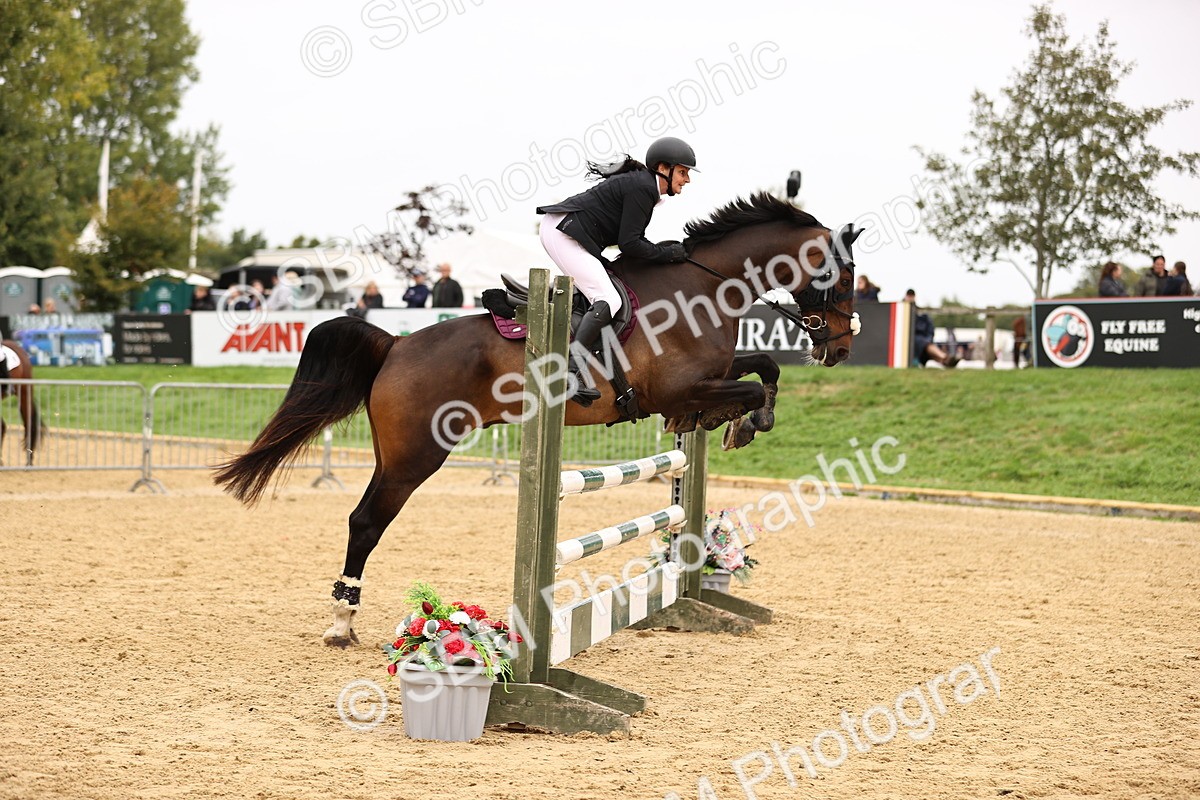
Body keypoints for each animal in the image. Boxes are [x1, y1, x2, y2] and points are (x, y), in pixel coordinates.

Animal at [214, 192, 862, 646]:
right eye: (843, 274)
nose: (841, 349)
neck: (703, 286)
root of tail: (395, 345)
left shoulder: (702, 384)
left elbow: (762, 371)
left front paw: (735, 423)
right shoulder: (679, 391)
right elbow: (751, 387)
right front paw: (745, 423)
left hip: (398, 451)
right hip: (415, 454)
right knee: (366, 522)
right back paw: (341, 622)